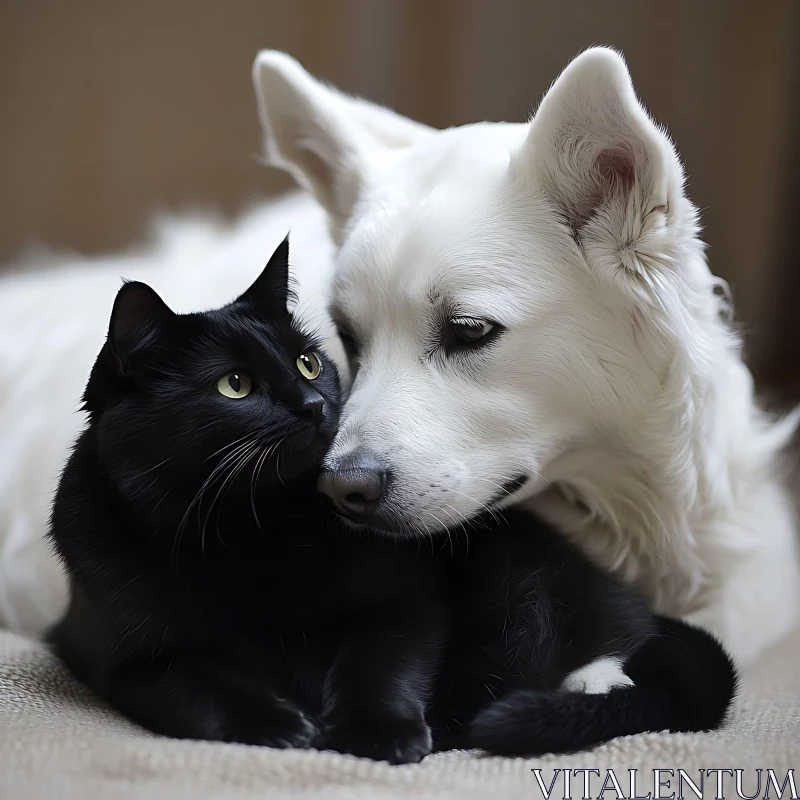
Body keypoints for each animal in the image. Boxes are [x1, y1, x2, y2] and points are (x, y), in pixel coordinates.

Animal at [47, 239, 736, 764]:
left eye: (308, 363)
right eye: (234, 385)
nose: (315, 404)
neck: (251, 529)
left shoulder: (407, 598)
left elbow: (380, 662)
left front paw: (376, 734)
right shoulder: (119, 659)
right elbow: (199, 688)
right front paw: (279, 725)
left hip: (525, 586)